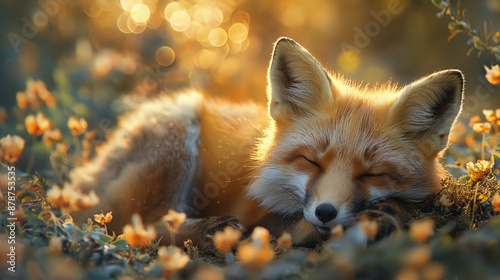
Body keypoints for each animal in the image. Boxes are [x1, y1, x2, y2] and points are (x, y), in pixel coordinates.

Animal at [69, 37, 464, 249]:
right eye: (311, 161)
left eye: (373, 174)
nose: (326, 212)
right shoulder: (256, 211)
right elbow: (286, 225)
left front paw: (384, 216)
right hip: (176, 135)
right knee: (136, 223)